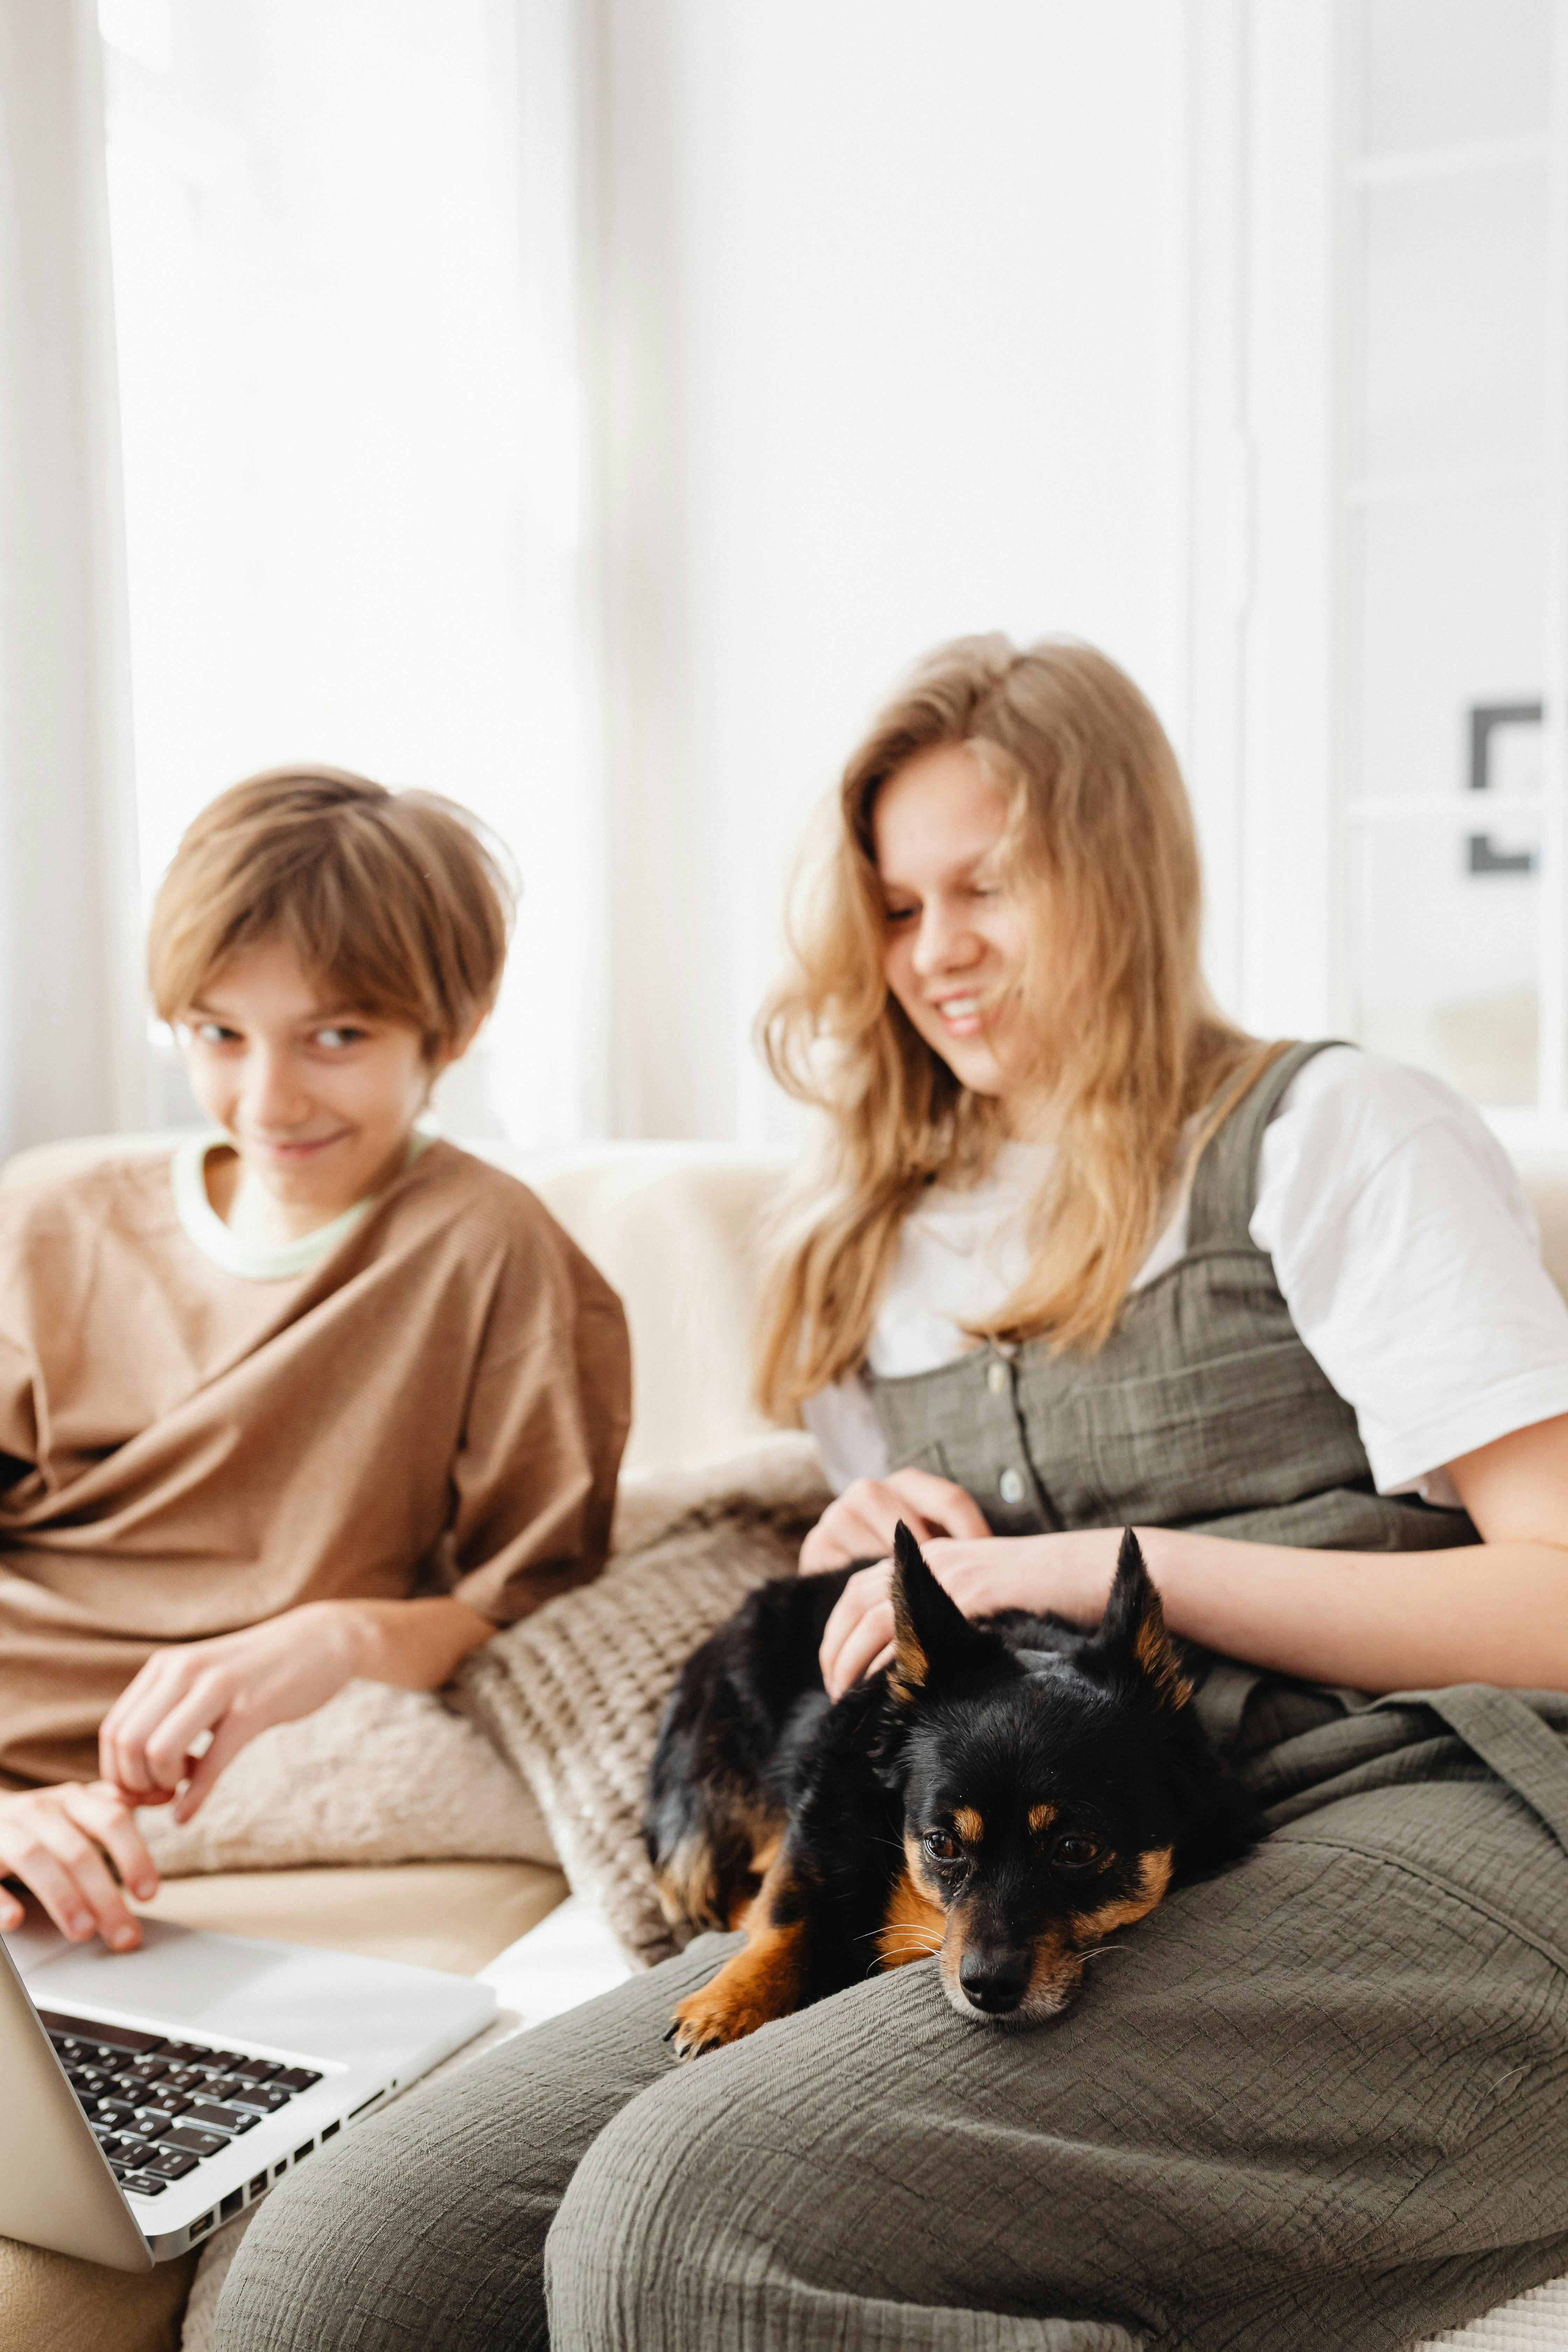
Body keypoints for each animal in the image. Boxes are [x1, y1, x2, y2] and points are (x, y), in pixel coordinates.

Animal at [644, 1514, 1260, 2051]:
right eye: (942, 1845)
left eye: (1076, 1849)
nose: (987, 1988)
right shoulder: (819, 1814)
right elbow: (787, 1912)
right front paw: (727, 2004)